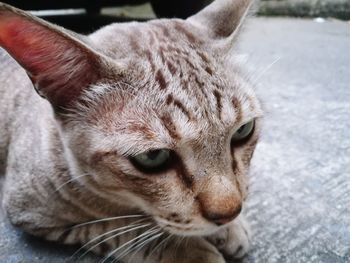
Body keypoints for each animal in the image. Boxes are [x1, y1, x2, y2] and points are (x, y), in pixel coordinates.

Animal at [0, 0, 262, 262]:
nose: (229, 213)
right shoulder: (32, 213)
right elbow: (121, 232)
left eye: (243, 131)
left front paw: (232, 227)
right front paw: (189, 251)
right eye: (153, 157)